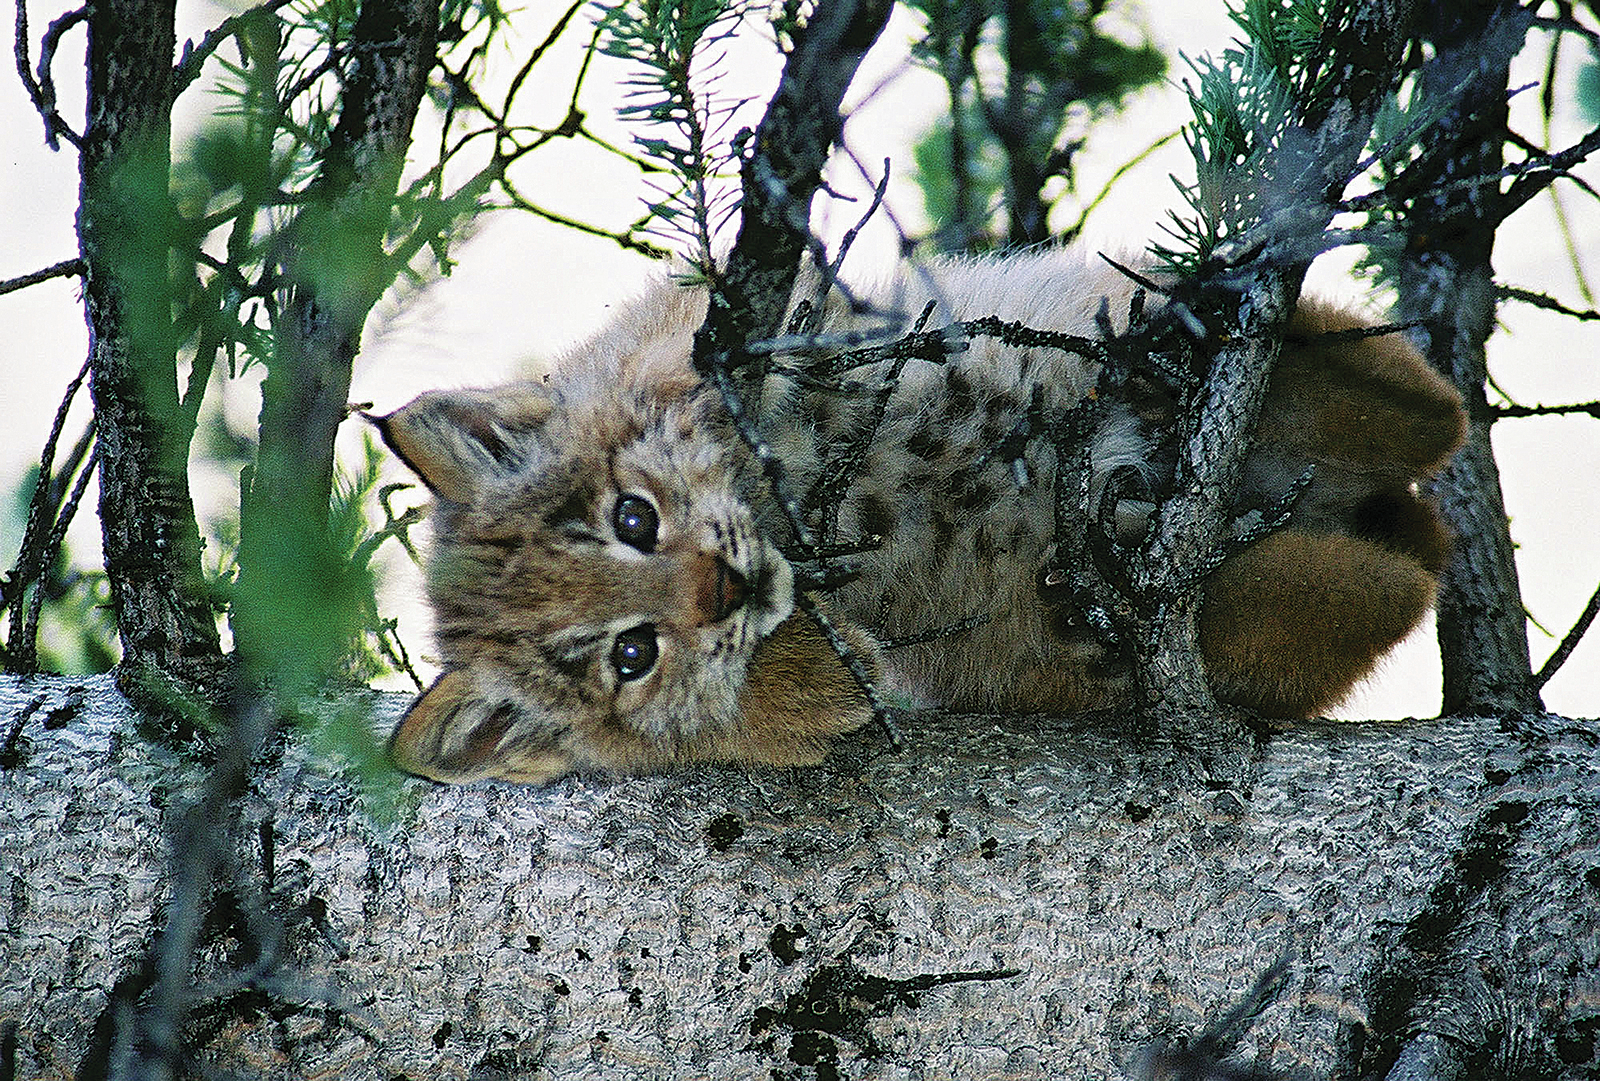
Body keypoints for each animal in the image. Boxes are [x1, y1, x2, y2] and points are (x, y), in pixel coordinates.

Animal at [380, 249, 1465, 780]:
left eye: (634, 519)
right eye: (631, 655)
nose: (725, 584)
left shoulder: (708, 305)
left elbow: (680, 345)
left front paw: (708, 398)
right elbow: (759, 709)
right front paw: (801, 662)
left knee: (1430, 414)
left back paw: (1212, 332)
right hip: (1239, 616)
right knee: (1388, 568)